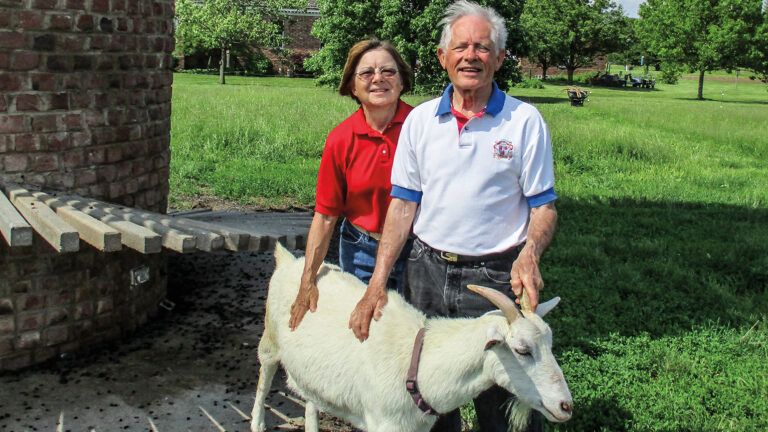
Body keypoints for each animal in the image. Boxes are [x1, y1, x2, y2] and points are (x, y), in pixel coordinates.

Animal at [252, 243, 568, 432]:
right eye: (522, 349)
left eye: (550, 344)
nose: (566, 405)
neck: (420, 364)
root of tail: (290, 260)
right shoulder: (382, 424)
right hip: (269, 341)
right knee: (264, 379)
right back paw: (257, 423)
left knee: (309, 397)